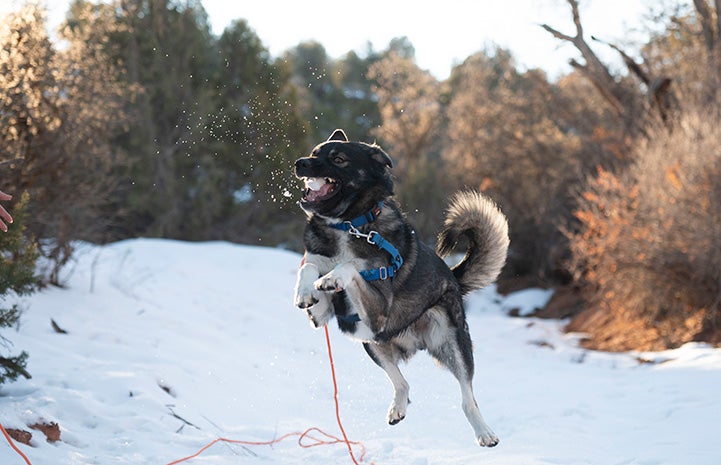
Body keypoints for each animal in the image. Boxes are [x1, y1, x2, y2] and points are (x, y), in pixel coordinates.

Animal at [292, 128, 506, 446]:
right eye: (315, 152)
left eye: (338, 159)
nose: (300, 163)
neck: (348, 224)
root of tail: (453, 278)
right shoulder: (324, 314)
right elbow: (308, 266)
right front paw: (305, 290)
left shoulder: (379, 307)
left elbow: (350, 268)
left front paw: (333, 277)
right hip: (372, 343)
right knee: (402, 382)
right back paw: (398, 408)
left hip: (452, 344)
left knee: (468, 398)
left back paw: (484, 432)